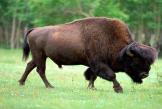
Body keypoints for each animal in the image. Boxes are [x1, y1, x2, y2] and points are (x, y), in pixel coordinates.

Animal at [18, 17, 157, 93]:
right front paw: (119, 89)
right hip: (40, 55)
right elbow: (111, 75)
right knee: (40, 70)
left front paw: (91, 88)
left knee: (30, 66)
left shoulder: (94, 64)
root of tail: (35, 29)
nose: (145, 74)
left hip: (40, 56)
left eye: (148, 61)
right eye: (136, 60)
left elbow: (92, 76)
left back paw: (21, 83)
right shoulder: (99, 63)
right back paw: (50, 86)